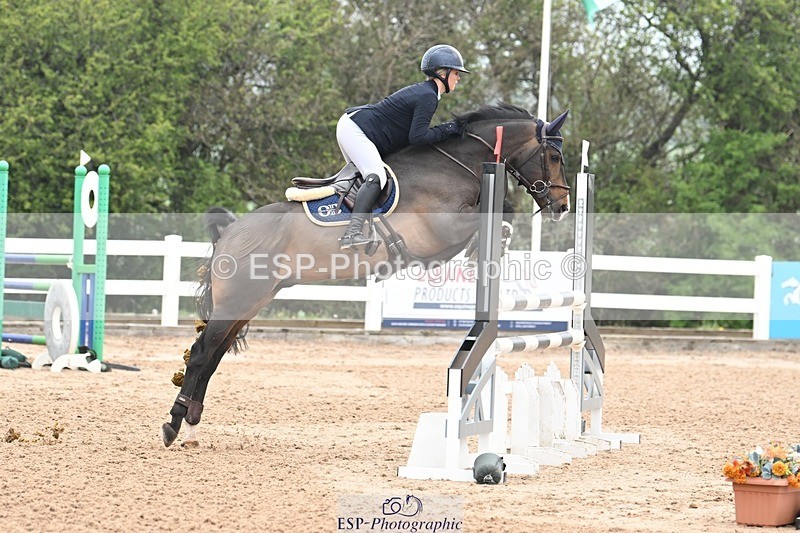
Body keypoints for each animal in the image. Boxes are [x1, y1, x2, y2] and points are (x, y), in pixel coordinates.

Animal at [161, 103, 572, 447]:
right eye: (553, 156)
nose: (563, 205)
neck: (455, 164)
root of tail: (231, 230)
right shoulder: (443, 229)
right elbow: (498, 212)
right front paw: (488, 242)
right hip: (238, 301)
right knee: (201, 354)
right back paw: (174, 424)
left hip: (250, 303)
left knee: (213, 356)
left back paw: (192, 419)